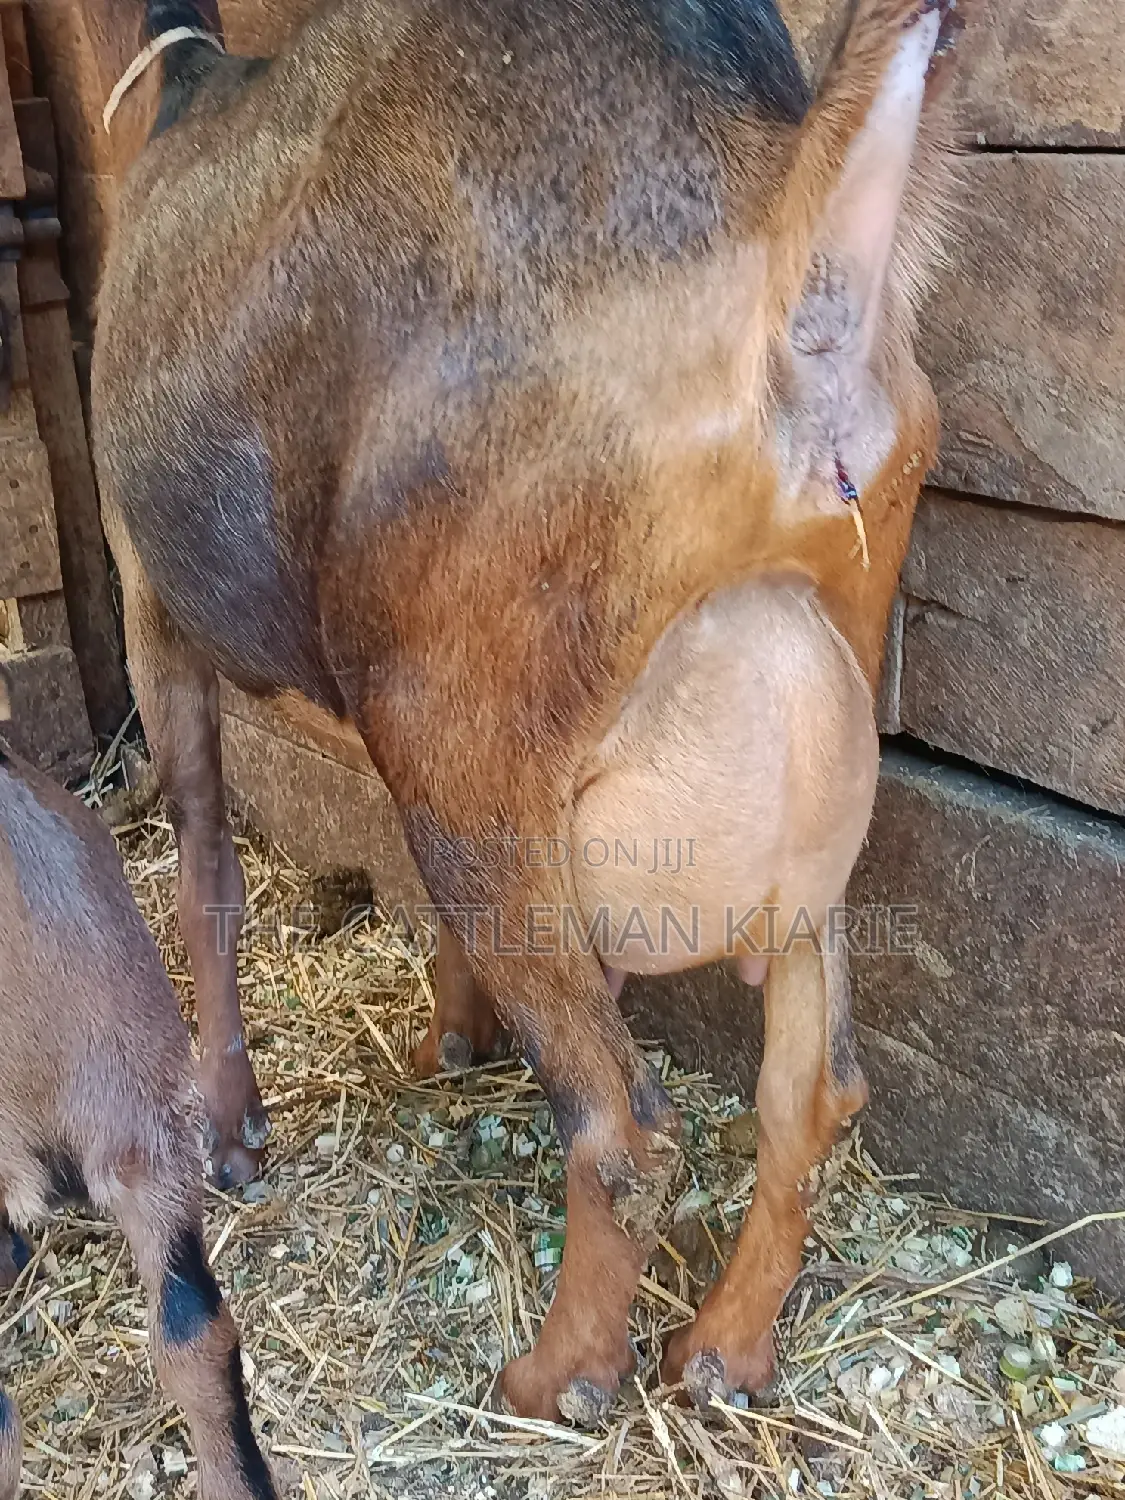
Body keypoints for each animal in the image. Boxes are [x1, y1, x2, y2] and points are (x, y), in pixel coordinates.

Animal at [92, 0, 966, 1420]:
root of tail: (782, 225)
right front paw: (454, 1035)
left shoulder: (145, 588)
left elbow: (205, 857)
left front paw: (229, 1129)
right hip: (797, 746)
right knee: (814, 1089)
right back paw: (723, 1351)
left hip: (463, 728)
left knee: (624, 1132)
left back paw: (558, 1378)